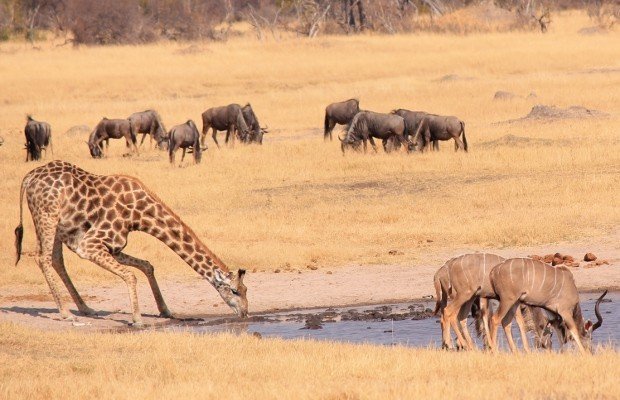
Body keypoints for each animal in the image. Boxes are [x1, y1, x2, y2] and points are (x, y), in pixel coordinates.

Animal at [15, 159, 247, 324]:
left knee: (56, 259)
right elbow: (131, 275)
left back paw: (86, 308)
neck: (140, 214)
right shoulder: (89, 245)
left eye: (246, 290)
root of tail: (28, 177)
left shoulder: (114, 248)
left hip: (56, 226)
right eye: (235, 291)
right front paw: (137, 319)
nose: (245, 312)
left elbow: (147, 266)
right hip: (47, 217)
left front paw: (165, 311)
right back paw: (65, 313)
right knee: (43, 258)